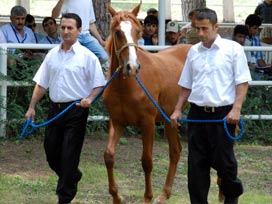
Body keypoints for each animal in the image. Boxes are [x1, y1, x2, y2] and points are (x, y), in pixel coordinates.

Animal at [103, 1, 190, 204]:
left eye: (137, 31)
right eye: (117, 32)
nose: (133, 67)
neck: (127, 86)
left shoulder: (147, 123)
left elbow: (147, 161)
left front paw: (147, 197)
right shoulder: (117, 122)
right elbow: (109, 156)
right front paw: (116, 196)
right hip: (169, 120)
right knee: (176, 151)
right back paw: (164, 194)